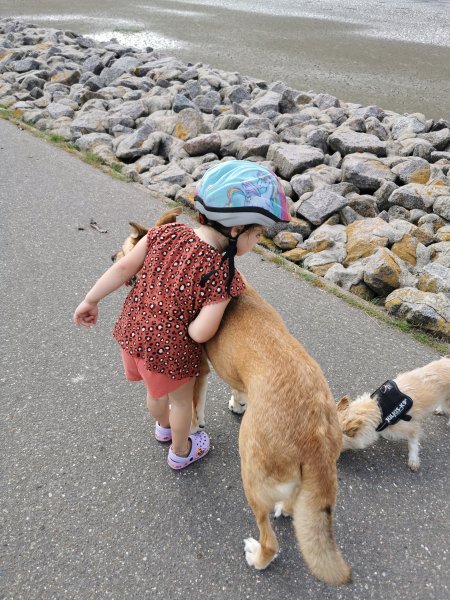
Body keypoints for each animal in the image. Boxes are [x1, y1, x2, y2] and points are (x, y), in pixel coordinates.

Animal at [114, 208, 351, 585]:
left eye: (123, 252)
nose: (113, 259)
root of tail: (317, 434)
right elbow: (237, 388)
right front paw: (237, 403)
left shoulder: (198, 372)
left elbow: (191, 410)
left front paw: (192, 431)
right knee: (292, 506)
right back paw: (286, 508)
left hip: (251, 472)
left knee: (270, 539)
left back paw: (259, 556)